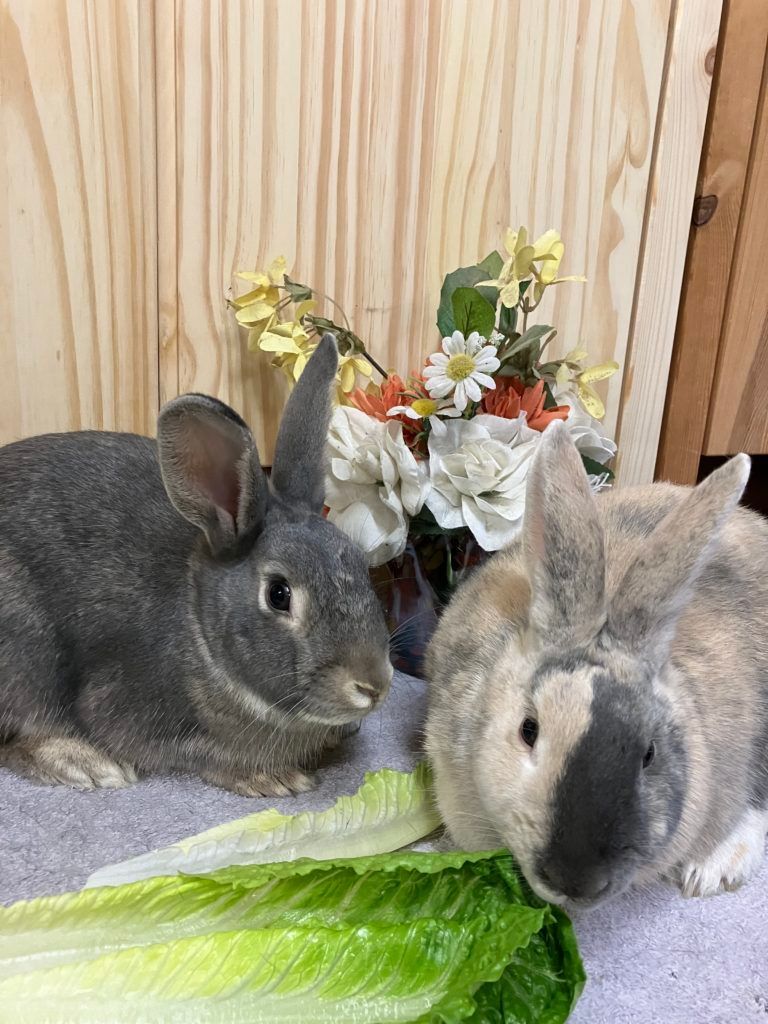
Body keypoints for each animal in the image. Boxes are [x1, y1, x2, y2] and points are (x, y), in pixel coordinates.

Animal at [0, 335, 392, 796]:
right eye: (279, 594)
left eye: (358, 562)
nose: (374, 684)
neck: (199, 626)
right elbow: (200, 754)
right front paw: (272, 778)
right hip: (26, 652)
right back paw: (84, 764)